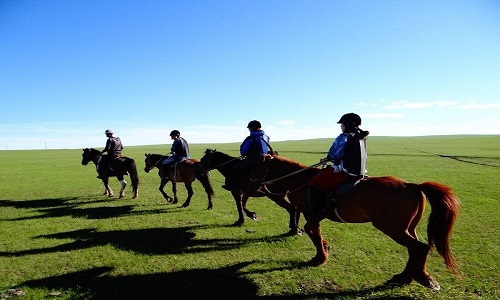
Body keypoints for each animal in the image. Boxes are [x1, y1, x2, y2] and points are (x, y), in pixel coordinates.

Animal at [256, 154, 458, 290]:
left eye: (254, 165)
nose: (255, 186)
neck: (301, 180)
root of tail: (413, 186)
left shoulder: (310, 213)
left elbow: (312, 231)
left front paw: (321, 257)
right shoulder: (314, 215)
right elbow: (314, 232)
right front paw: (325, 249)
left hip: (392, 228)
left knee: (419, 248)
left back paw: (414, 278)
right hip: (408, 228)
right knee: (416, 249)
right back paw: (408, 277)